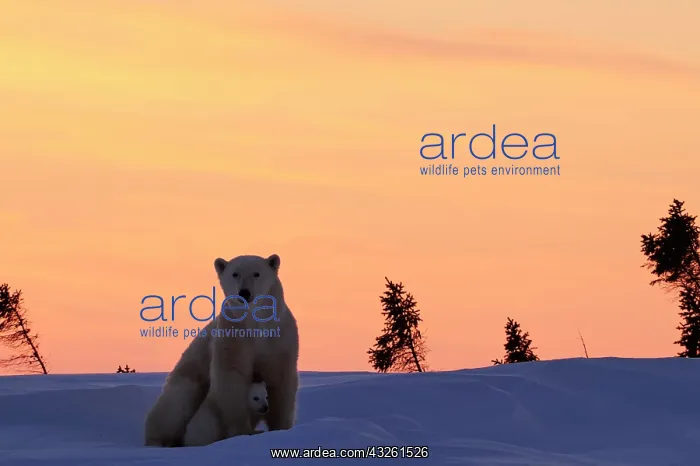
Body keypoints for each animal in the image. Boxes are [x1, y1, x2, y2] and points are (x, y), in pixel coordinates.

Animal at [143, 253, 300, 447]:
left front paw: (280, 429)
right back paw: (160, 441)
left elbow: (280, 379)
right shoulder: (233, 335)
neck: (255, 324)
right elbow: (232, 376)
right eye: (235, 274)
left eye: (257, 273)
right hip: (188, 379)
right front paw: (242, 432)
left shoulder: (279, 339)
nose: (244, 293)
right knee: (176, 405)